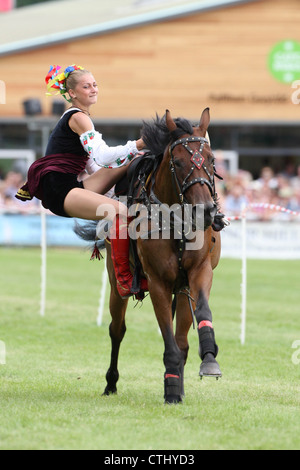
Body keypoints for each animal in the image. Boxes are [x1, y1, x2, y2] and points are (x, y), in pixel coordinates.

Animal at [78, 107, 221, 404]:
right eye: (177, 162)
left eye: (212, 160)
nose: (206, 211)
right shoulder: (158, 283)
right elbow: (167, 339)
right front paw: (172, 389)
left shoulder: (199, 272)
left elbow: (201, 312)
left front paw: (209, 358)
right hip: (116, 285)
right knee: (117, 330)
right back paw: (111, 383)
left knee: (181, 339)